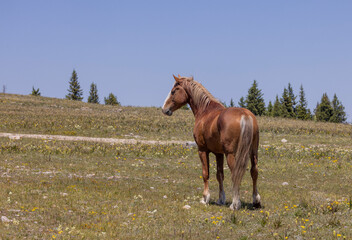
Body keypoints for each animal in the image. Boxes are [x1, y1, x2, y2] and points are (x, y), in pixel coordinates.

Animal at [162, 75, 262, 210]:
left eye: (173, 91)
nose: (164, 109)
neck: (205, 111)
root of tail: (244, 115)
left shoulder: (203, 150)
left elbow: (206, 173)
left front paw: (205, 198)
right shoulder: (218, 153)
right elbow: (219, 175)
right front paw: (221, 199)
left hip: (231, 154)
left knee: (235, 174)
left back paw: (235, 203)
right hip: (253, 152)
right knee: (254, 171)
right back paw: (256, 201)